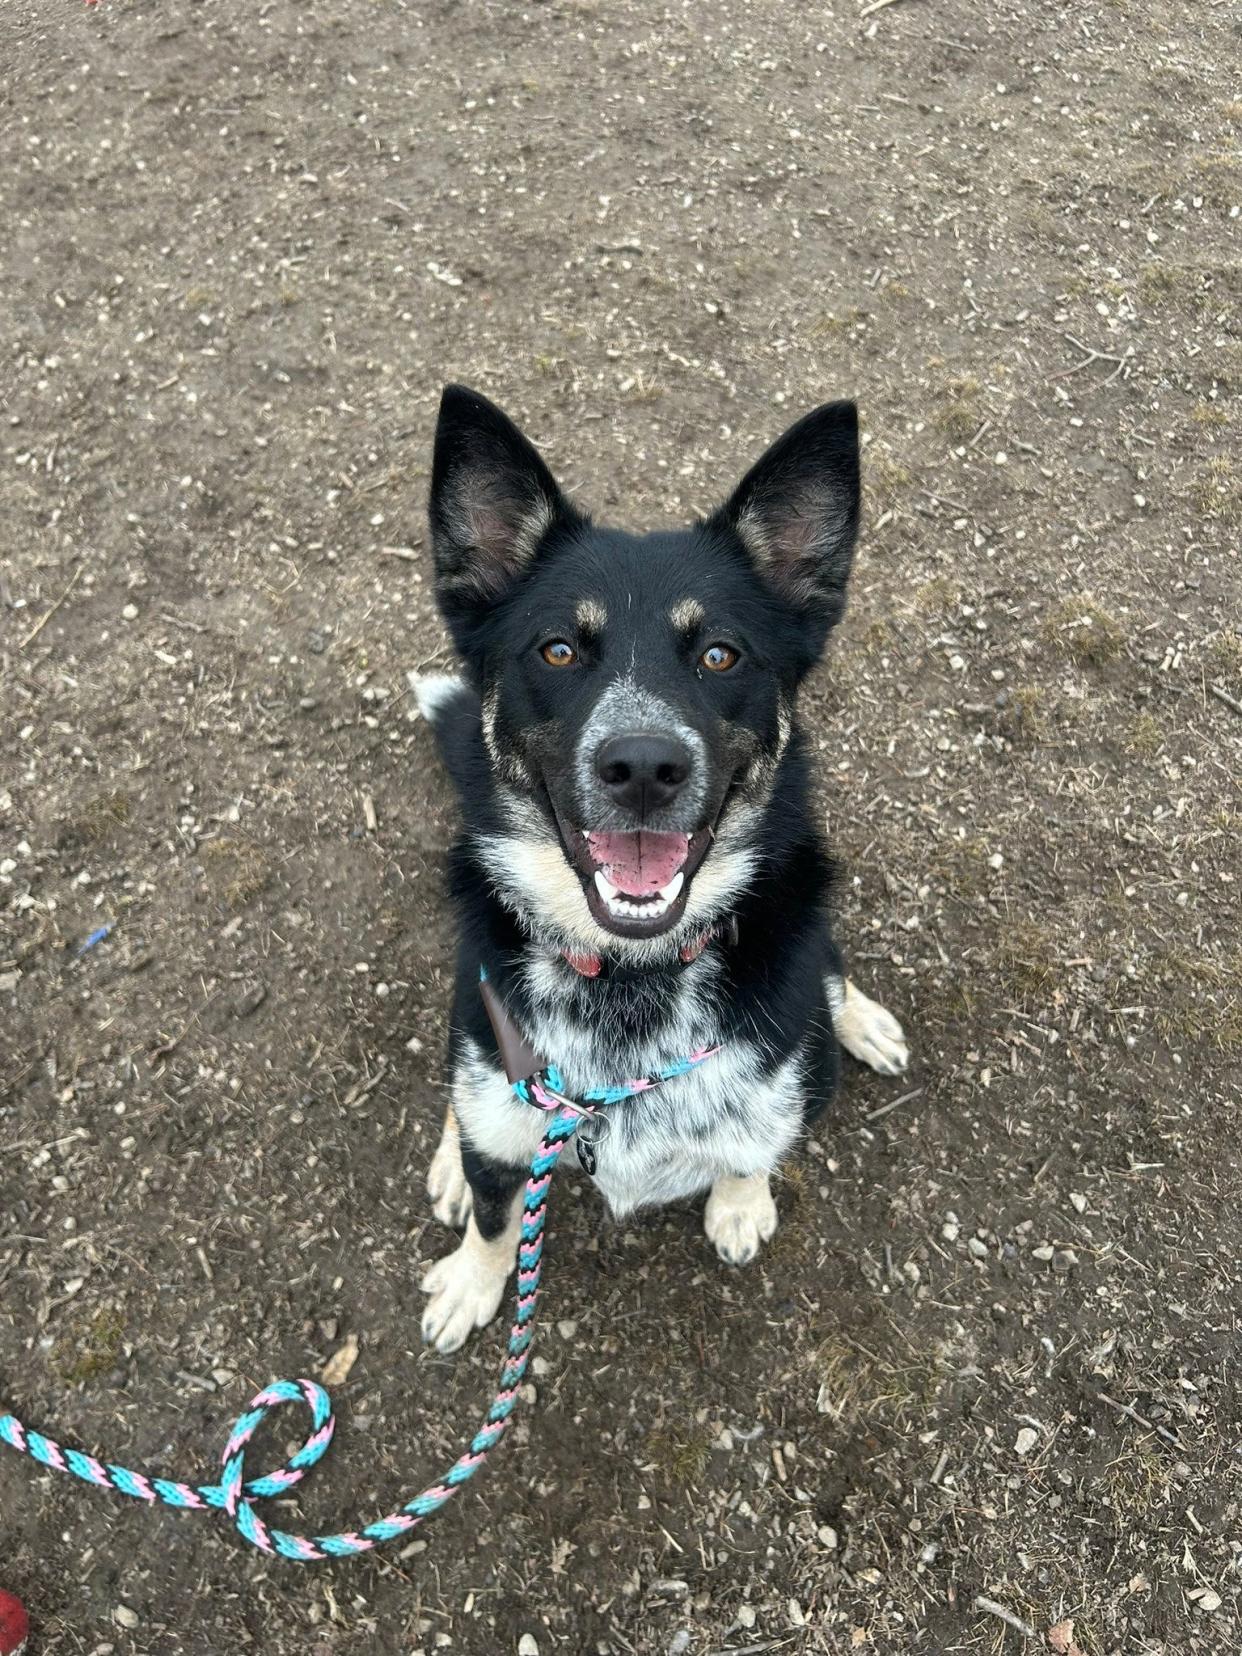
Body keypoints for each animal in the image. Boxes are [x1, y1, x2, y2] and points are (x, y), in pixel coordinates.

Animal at [414, 387, 907, 1357]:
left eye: (720, 653)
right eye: (558, 650)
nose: (643, 766)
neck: (628, 983)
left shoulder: (779, 1082)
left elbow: (756, 1145)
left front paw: (740, 1202)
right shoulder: (504, 1084)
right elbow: (496, 1211)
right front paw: (474, 1277)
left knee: (832, 976)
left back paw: (863, 1022)